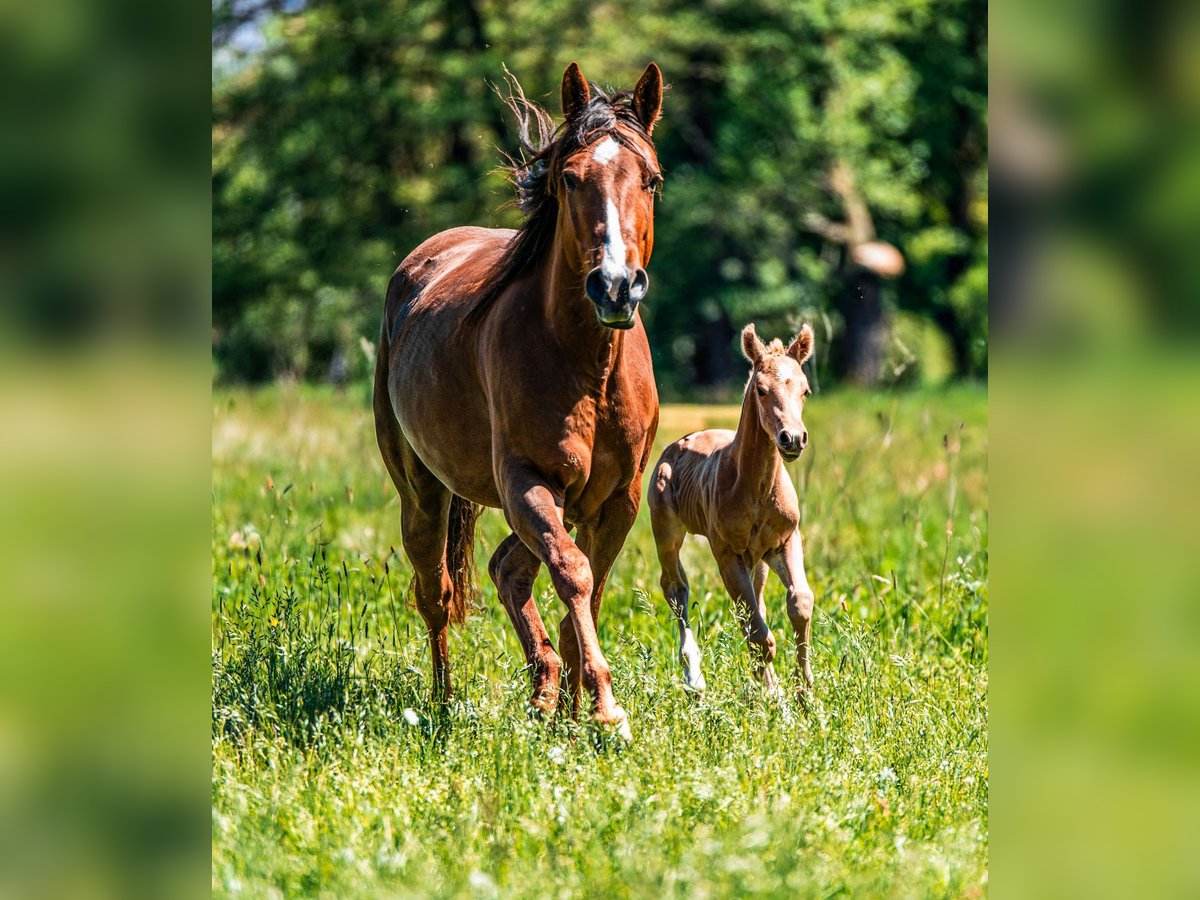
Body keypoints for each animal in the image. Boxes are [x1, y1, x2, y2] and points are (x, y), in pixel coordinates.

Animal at [373, 62, 664, 738]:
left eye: (652, 179)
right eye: (570, 177)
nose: (615, 286)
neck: (587, 365)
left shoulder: (618, 497)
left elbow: (589, 585)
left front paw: (580, 706)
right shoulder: (527, 482)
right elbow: (574, 574)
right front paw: (606, 708)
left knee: (509, 567)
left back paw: (547, 690)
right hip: (422, 494)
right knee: (436, 594)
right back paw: (444, 703)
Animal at [648, 323, 817, 698]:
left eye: (806, 390)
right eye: (761, 389)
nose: (793, 438)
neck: (757, 491)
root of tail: (676, 444)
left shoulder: (785, 541)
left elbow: (799, 603)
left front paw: (805, 694)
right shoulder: (726, 552)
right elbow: (758, 633)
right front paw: (775, 698)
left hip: (759, 559)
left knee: (754, 606)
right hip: (667, 531)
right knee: (675, 587)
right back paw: (693, 678)